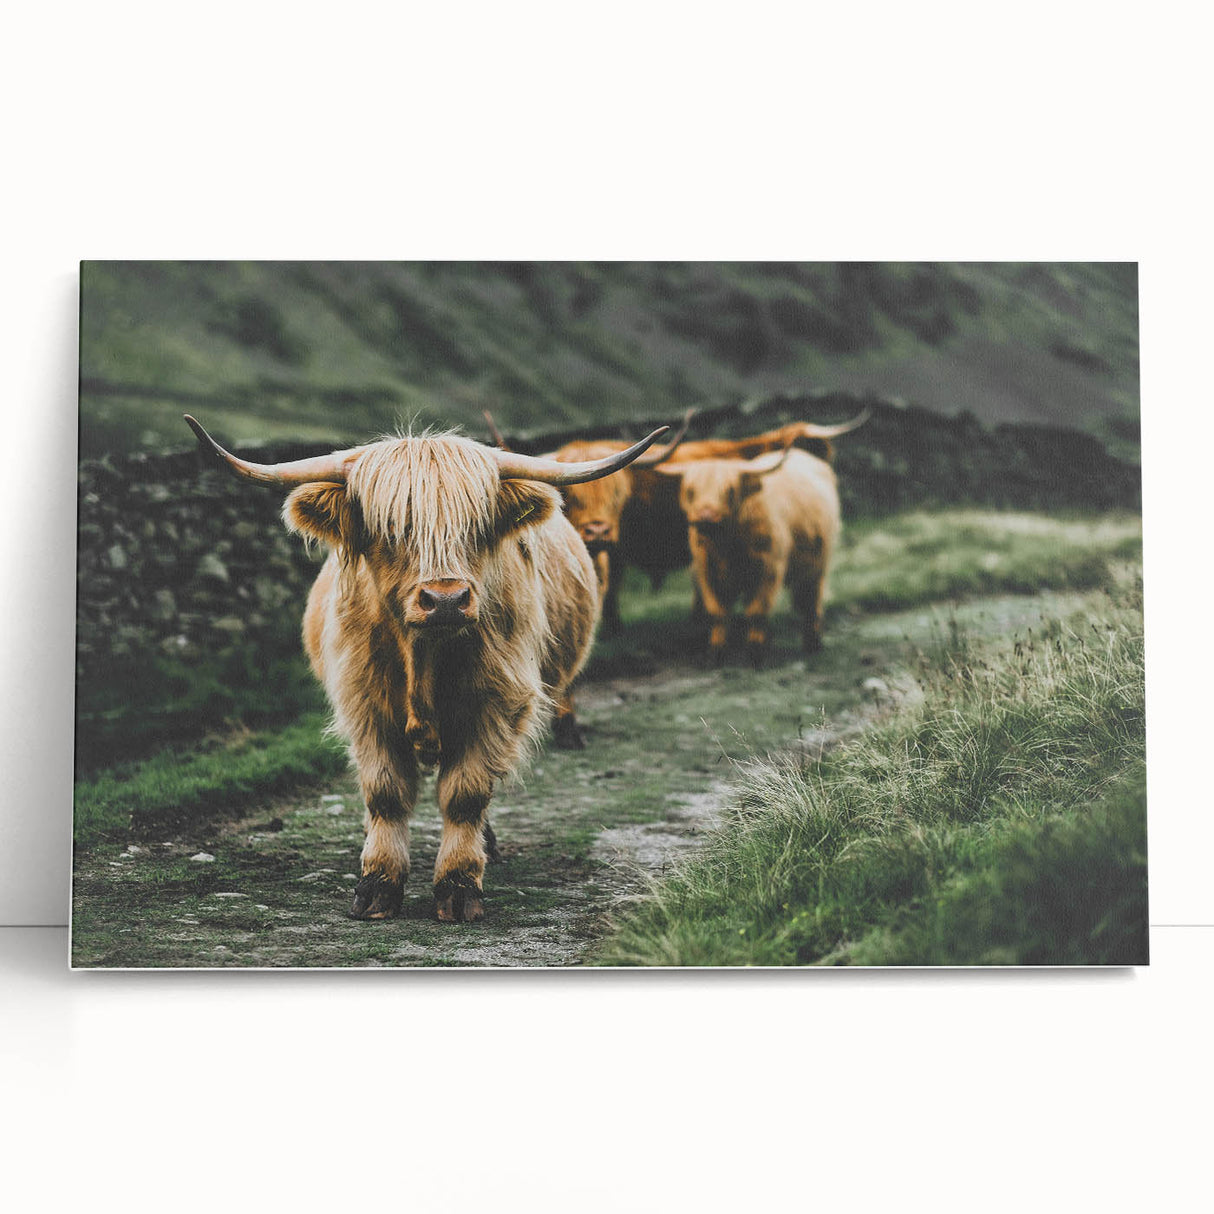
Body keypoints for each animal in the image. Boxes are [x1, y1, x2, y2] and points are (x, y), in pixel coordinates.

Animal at [183, 415, 668, 923]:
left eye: (477, 526)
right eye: (391, 527)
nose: (446, 599)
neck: (423, 657)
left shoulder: (496, 705)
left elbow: (466, 793)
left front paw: (458, 885)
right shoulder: (364, 705)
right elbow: (385, 793)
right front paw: (377, 884)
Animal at [653, 446, 842, 664]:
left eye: (729, 490)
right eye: (691, 491)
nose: (706, 516)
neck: (726, 546)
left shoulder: (769, 568)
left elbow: (756, 611)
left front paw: (754, 654)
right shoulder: (706, 570)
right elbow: (717, 613)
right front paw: (716, 654)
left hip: (818, 563)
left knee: (811, 601)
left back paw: (812, 643)